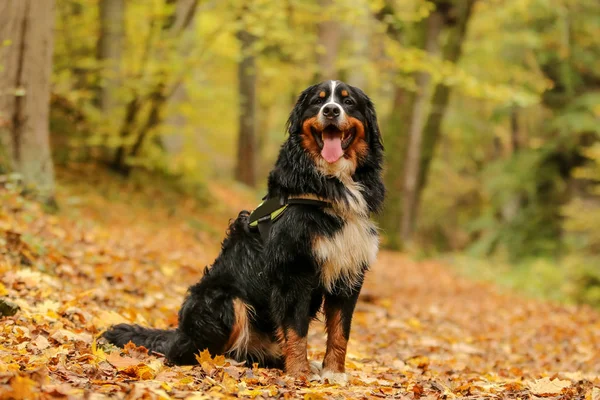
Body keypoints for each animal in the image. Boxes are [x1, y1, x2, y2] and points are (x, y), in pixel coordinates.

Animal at [102, 79, 384, 382]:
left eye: (348, 101)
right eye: (318, 102)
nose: (331, 111)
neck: (329, 183)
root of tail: (177, 335)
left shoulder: (348, 271)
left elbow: (340, 331)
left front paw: (333, 374)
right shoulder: (293, 269)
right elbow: (296, 329)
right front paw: (299, 375)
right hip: (223, 300)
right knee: (189, 353)